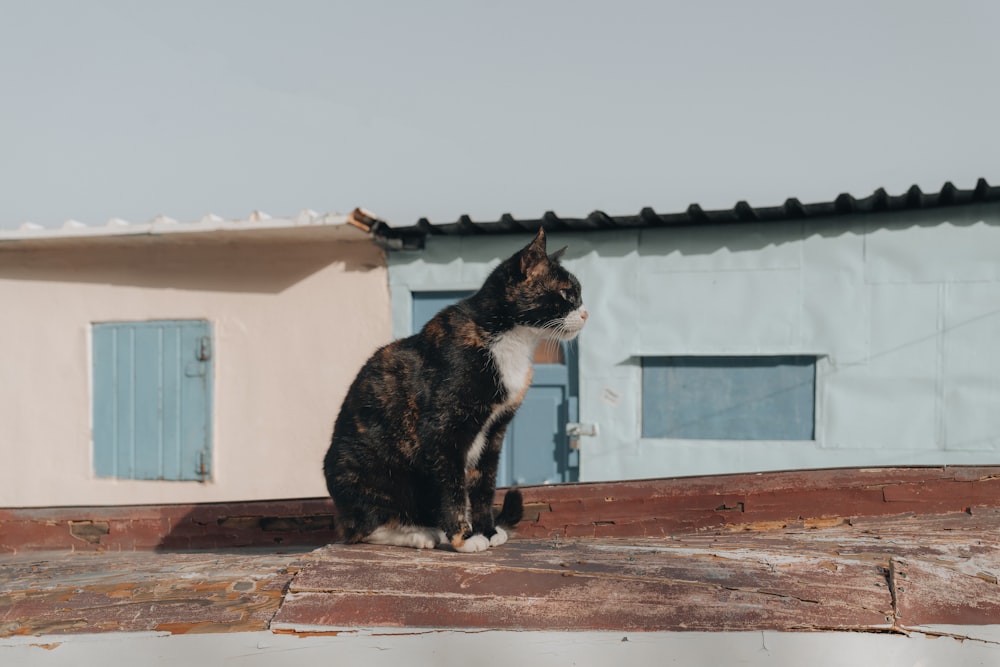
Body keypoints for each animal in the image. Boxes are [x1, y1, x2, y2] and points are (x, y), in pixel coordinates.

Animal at [320, 230, 584, 552]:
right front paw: (464, 538)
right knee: (363, 527)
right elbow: (453, 488)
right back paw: (419, 534)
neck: (512, 343)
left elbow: (483, 485)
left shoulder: (494, 432)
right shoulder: (443, 430)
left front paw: (488, 530)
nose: (585, 313)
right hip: (368, 472)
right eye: (567, 294)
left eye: (579, 294)